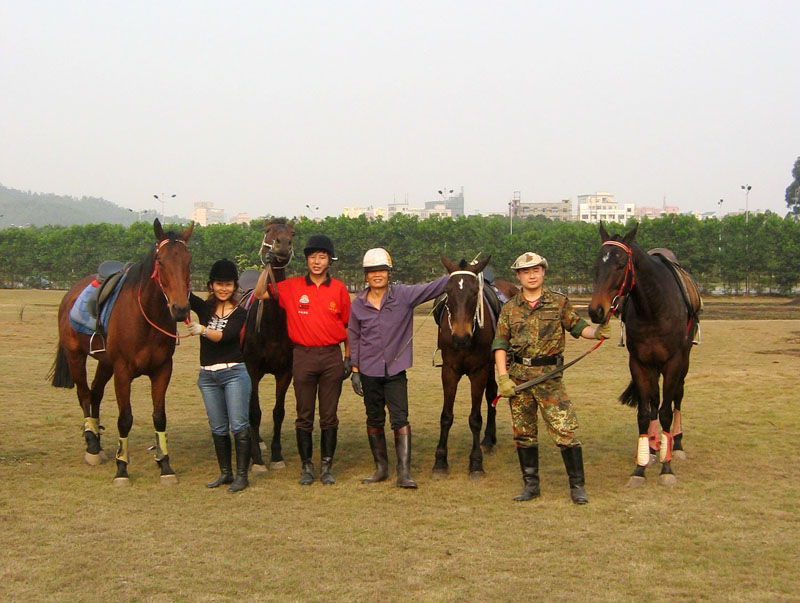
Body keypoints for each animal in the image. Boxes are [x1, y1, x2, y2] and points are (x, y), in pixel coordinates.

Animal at [50, 219, 194, 488]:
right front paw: (122, 468)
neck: (146, 319)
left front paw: (165, 464)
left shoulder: (162, 370)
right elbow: (125, 419)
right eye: (161, 262)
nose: (180, 309)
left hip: (105, 363)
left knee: (95, 394)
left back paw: (96, 439)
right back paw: (92, 446)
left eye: (188, 261)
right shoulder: (123, 372)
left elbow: (159, 416)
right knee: (84, 395)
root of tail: (70, 293)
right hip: (76, 357)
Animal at [432, 258, 520, 478]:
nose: (460, 336)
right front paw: (440, 461)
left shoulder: (479, 371)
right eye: (448, 291)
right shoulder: (449, 370)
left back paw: (488, 439)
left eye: (474, 293)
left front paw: (476, 462)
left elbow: (475, 418)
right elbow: (446, 416)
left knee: (491, 396)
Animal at [588, 224, 700, 488]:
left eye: (620, 265)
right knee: (654, 401)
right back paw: (652, 446)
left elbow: (667, 411)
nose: (596, 311)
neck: (653, 308)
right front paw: (640, 466)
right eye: (597, 264)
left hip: (683, 362)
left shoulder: (673, 362)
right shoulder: (639, 362)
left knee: (677, 397)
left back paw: (675, 445)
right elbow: (644, 412)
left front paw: (667, 467)